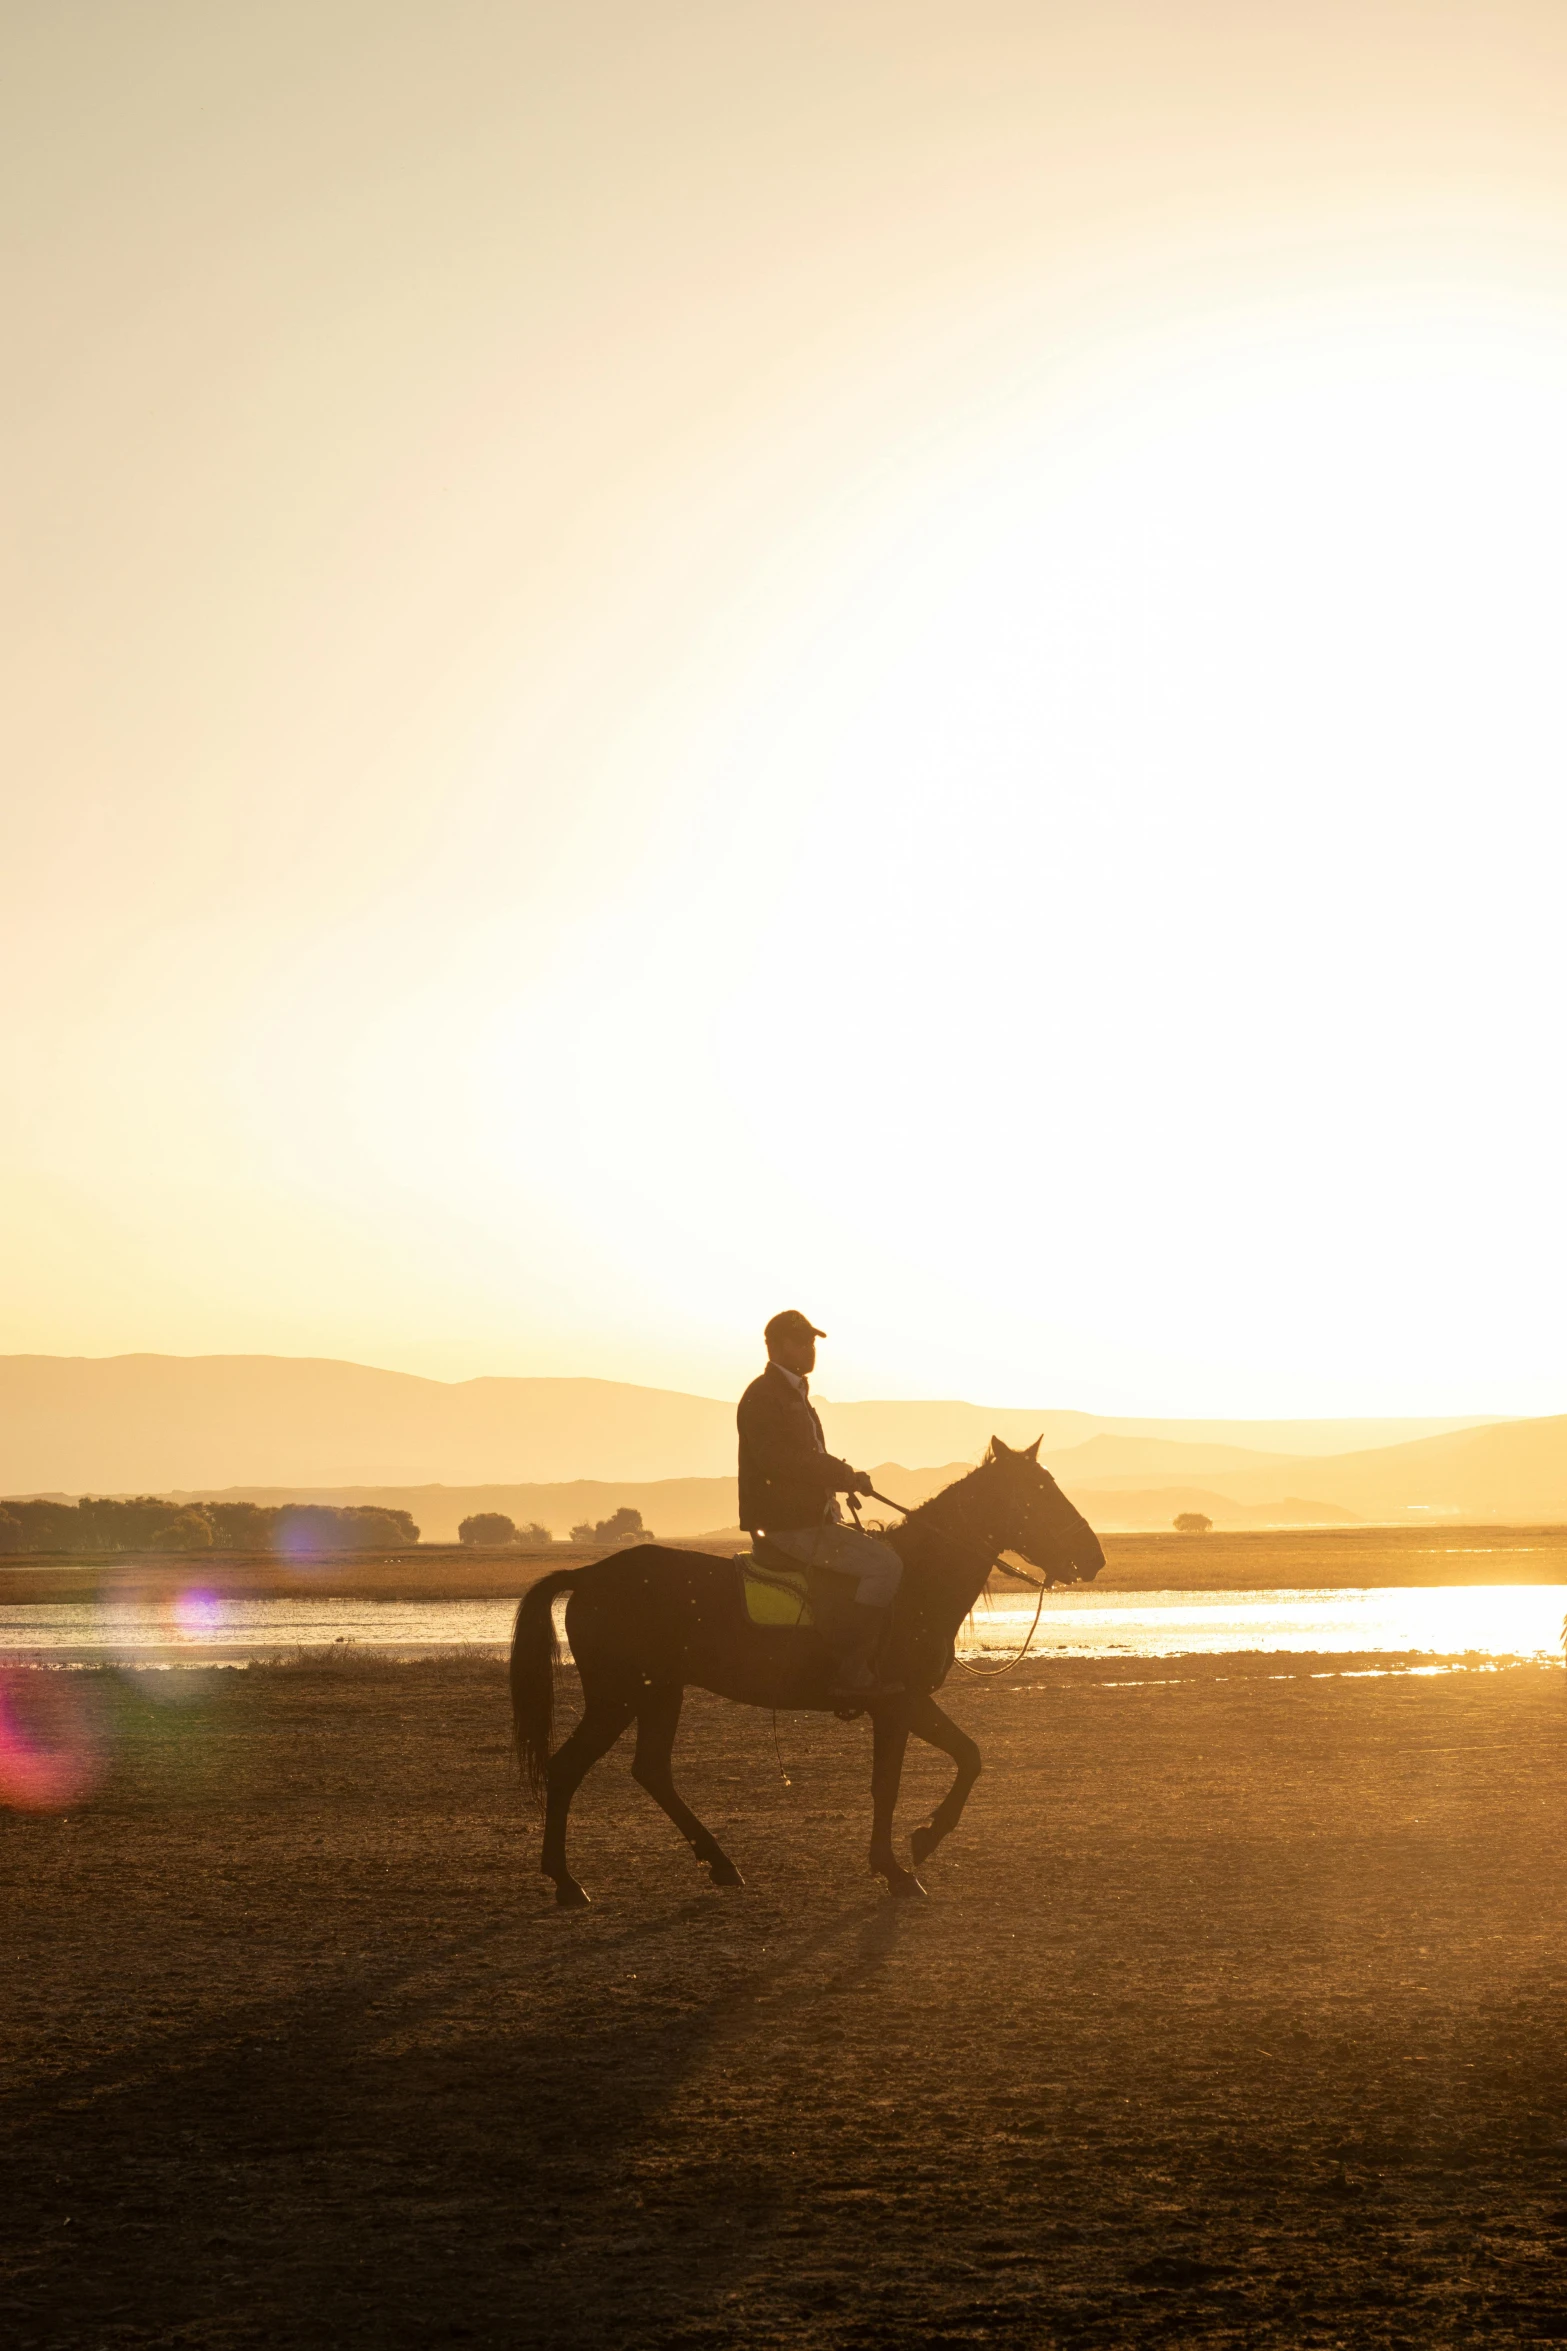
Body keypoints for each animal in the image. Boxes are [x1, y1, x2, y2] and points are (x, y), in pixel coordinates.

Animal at [509, 1429, 1108, 1909]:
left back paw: (719, 1864)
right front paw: (903, 1862)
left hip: (660, 1693)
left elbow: (966, 1758)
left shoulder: (909, 1704)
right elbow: (900, 1781)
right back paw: (567, 1882)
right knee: (568, 1768)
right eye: (1037, 1494)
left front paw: (918, 1845)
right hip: (619, 1697)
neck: (918, 1579)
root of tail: (590, 1576)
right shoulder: (898, 1704)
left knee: (651, 1771)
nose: (1093, 1558)